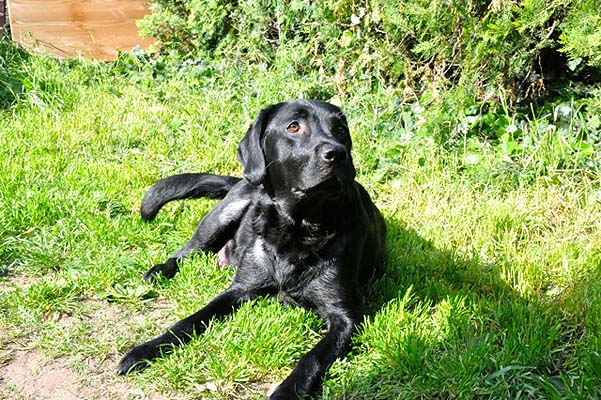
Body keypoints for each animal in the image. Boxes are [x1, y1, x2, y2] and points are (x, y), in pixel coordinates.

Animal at [117, 100, 387, 399]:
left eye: (340, 129)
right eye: (294, 126)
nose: (337, 153)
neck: (299, 226)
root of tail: (238, 181)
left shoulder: (345, 316)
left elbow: (312, 357)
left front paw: (287, 390)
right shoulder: (239, 289)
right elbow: (189, 320)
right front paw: (146, 349)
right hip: (224, 213)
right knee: (188, 251)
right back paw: (161, 270)